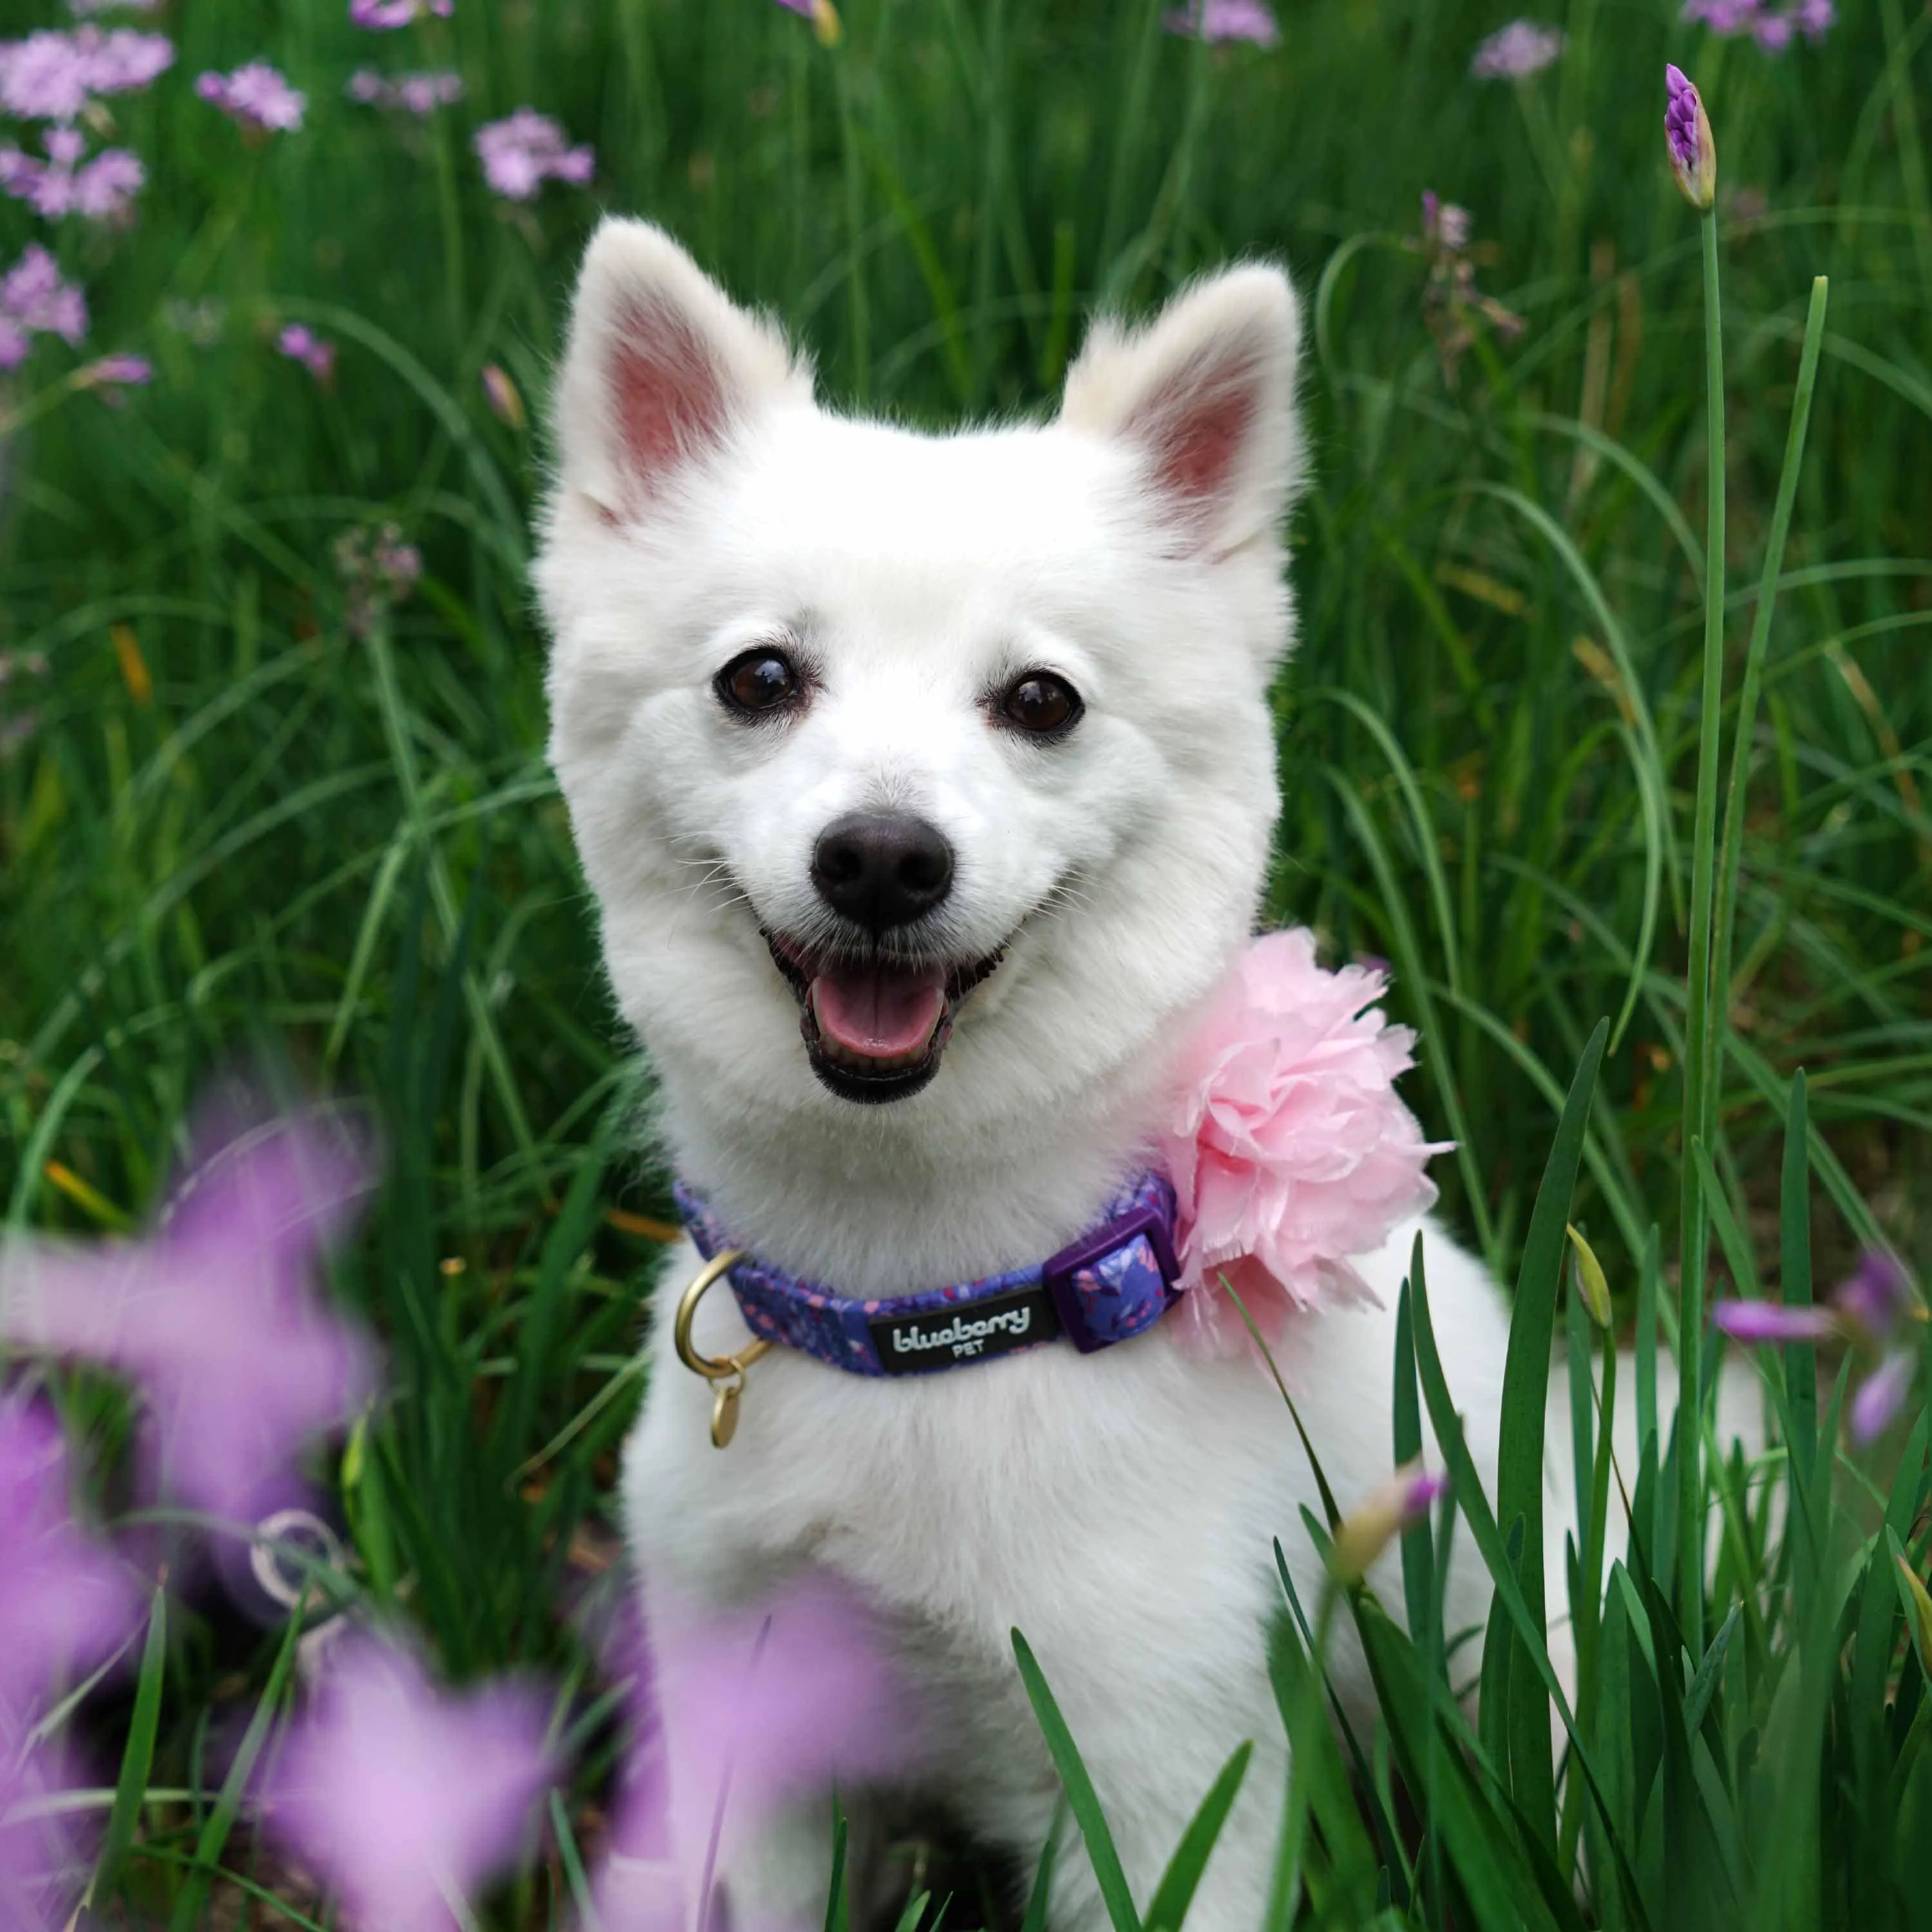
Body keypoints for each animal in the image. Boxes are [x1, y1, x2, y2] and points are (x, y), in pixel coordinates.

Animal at [537, 222, 1530, 1932]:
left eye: (1040, 702)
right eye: (758, 678)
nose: (882, 856)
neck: (924, 1320)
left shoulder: (1160, 1780)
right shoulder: (751, 1726)